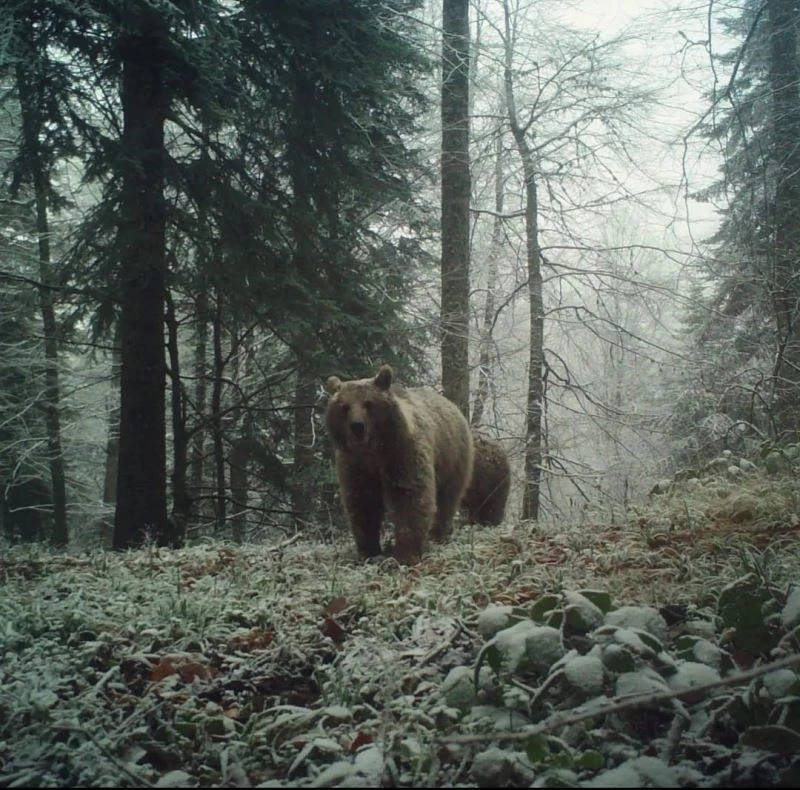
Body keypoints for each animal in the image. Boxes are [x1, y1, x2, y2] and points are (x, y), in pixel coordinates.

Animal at [324, 368, 476, 568]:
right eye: (344, 407)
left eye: (368, 403)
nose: (357, 426)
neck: (374, 452)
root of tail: (452, 405)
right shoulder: (355, 465)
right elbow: (363, 503)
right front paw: (369, 551)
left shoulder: (402, 454)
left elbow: (410, 497)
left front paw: (405, 554)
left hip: (453, 457)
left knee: (447, 498)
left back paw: (438, 535)